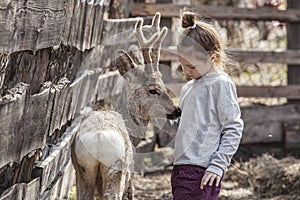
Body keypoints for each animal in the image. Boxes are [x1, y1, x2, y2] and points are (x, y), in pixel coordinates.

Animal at [70, 12, 180, 200]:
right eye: (153, 90)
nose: (177, 110)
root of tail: (97, 138)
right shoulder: (129, 174)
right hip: (116, 169)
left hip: (83, 171)